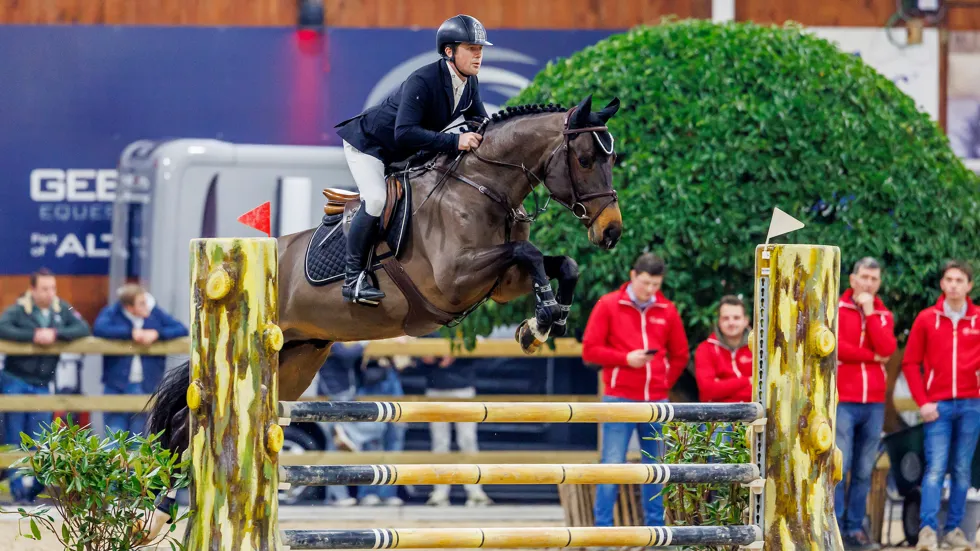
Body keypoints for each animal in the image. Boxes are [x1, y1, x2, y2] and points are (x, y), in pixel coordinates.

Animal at [144, 93, 622, 472]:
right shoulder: (455, 278)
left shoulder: (499, 282)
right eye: (585, 159)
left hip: (295, 358)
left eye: (613, 160)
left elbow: (562, 264)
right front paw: (543, 317)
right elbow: (530, 253)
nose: (611, 232)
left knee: (187, 428)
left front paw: (543, 323)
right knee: (187, 426)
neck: (482, 188)